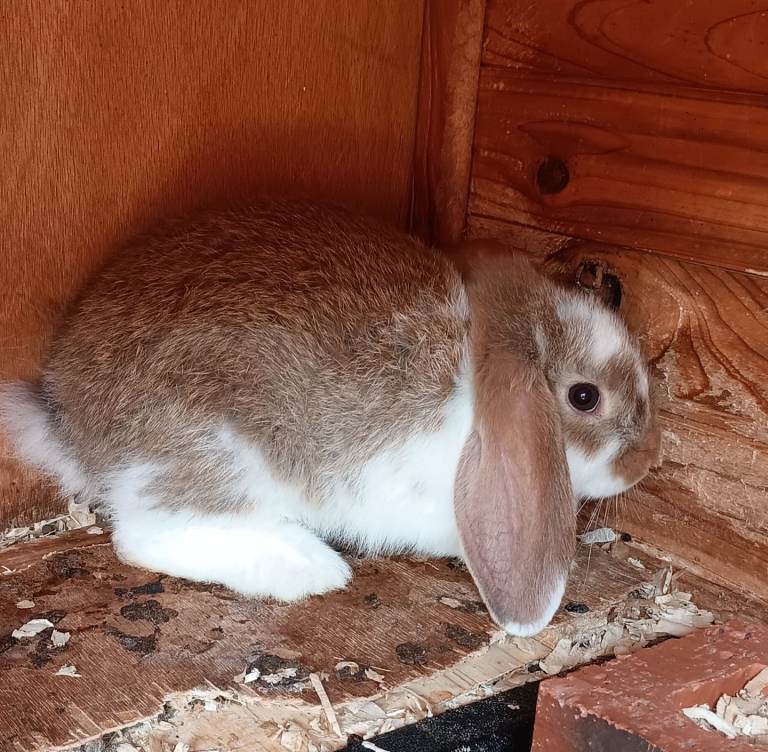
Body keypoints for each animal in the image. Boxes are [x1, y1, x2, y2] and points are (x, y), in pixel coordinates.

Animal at [0, 202, 660, 636]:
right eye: (584, 398)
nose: (647, 460)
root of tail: (69, 421)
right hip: (219, 451)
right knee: (149, 534)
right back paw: (310, 568)